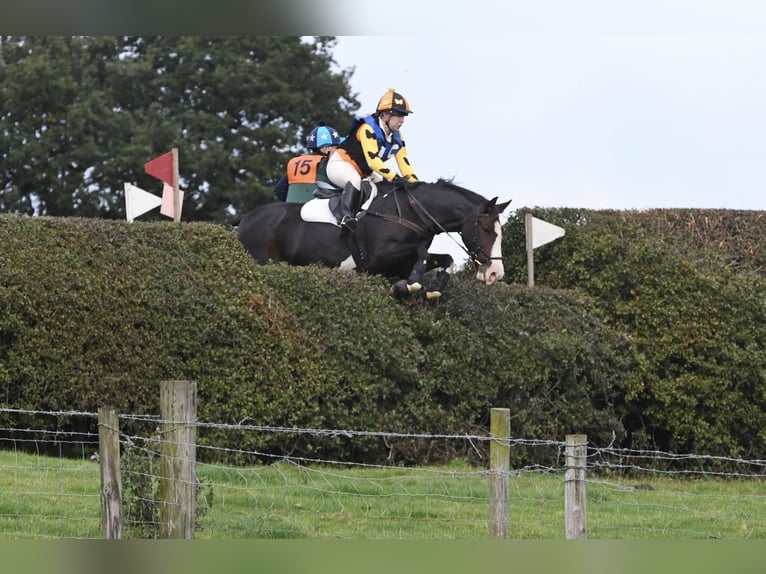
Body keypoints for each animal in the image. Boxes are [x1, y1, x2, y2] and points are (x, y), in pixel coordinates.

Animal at [232, 179, 510, 302]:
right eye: (487, 229)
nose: (495, 273)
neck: (411, 212)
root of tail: (246, 218)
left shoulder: (397, 264)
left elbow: (444, 258)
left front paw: (432, 288)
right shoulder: (380, 257)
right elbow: (421, 254)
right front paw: (408, 286)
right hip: (260, 260)